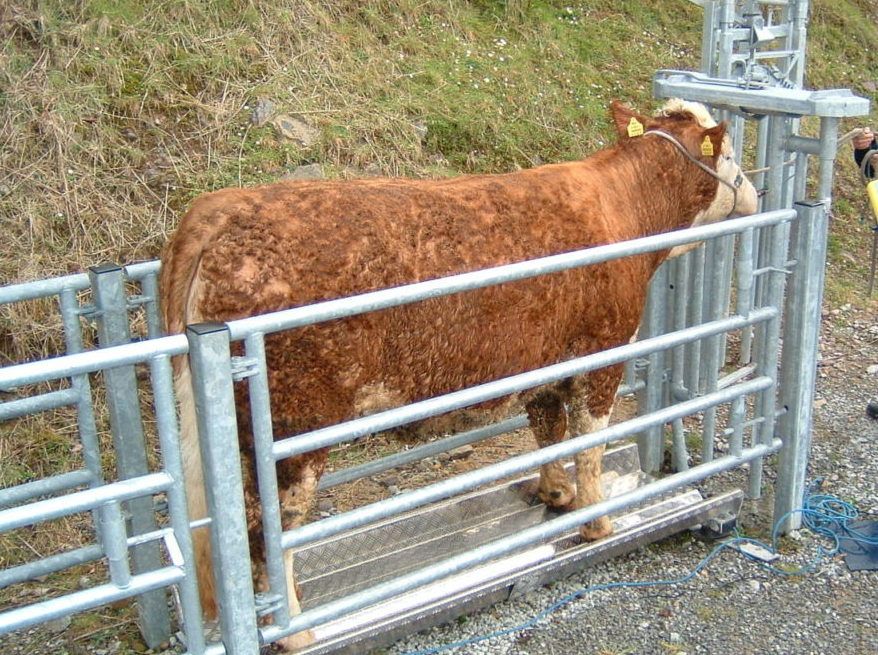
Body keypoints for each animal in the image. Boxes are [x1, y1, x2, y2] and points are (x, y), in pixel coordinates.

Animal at [159, 99, 758, 650]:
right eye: (730, 153)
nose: (754, 191)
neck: (624, 207)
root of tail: (220, 208)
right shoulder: (602, 354)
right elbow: (589, 441)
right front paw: (597, 521)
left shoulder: (544, 361)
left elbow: (549, 431)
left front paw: (557, 493)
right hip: (293, 425)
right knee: (270, 529)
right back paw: (296, 631)